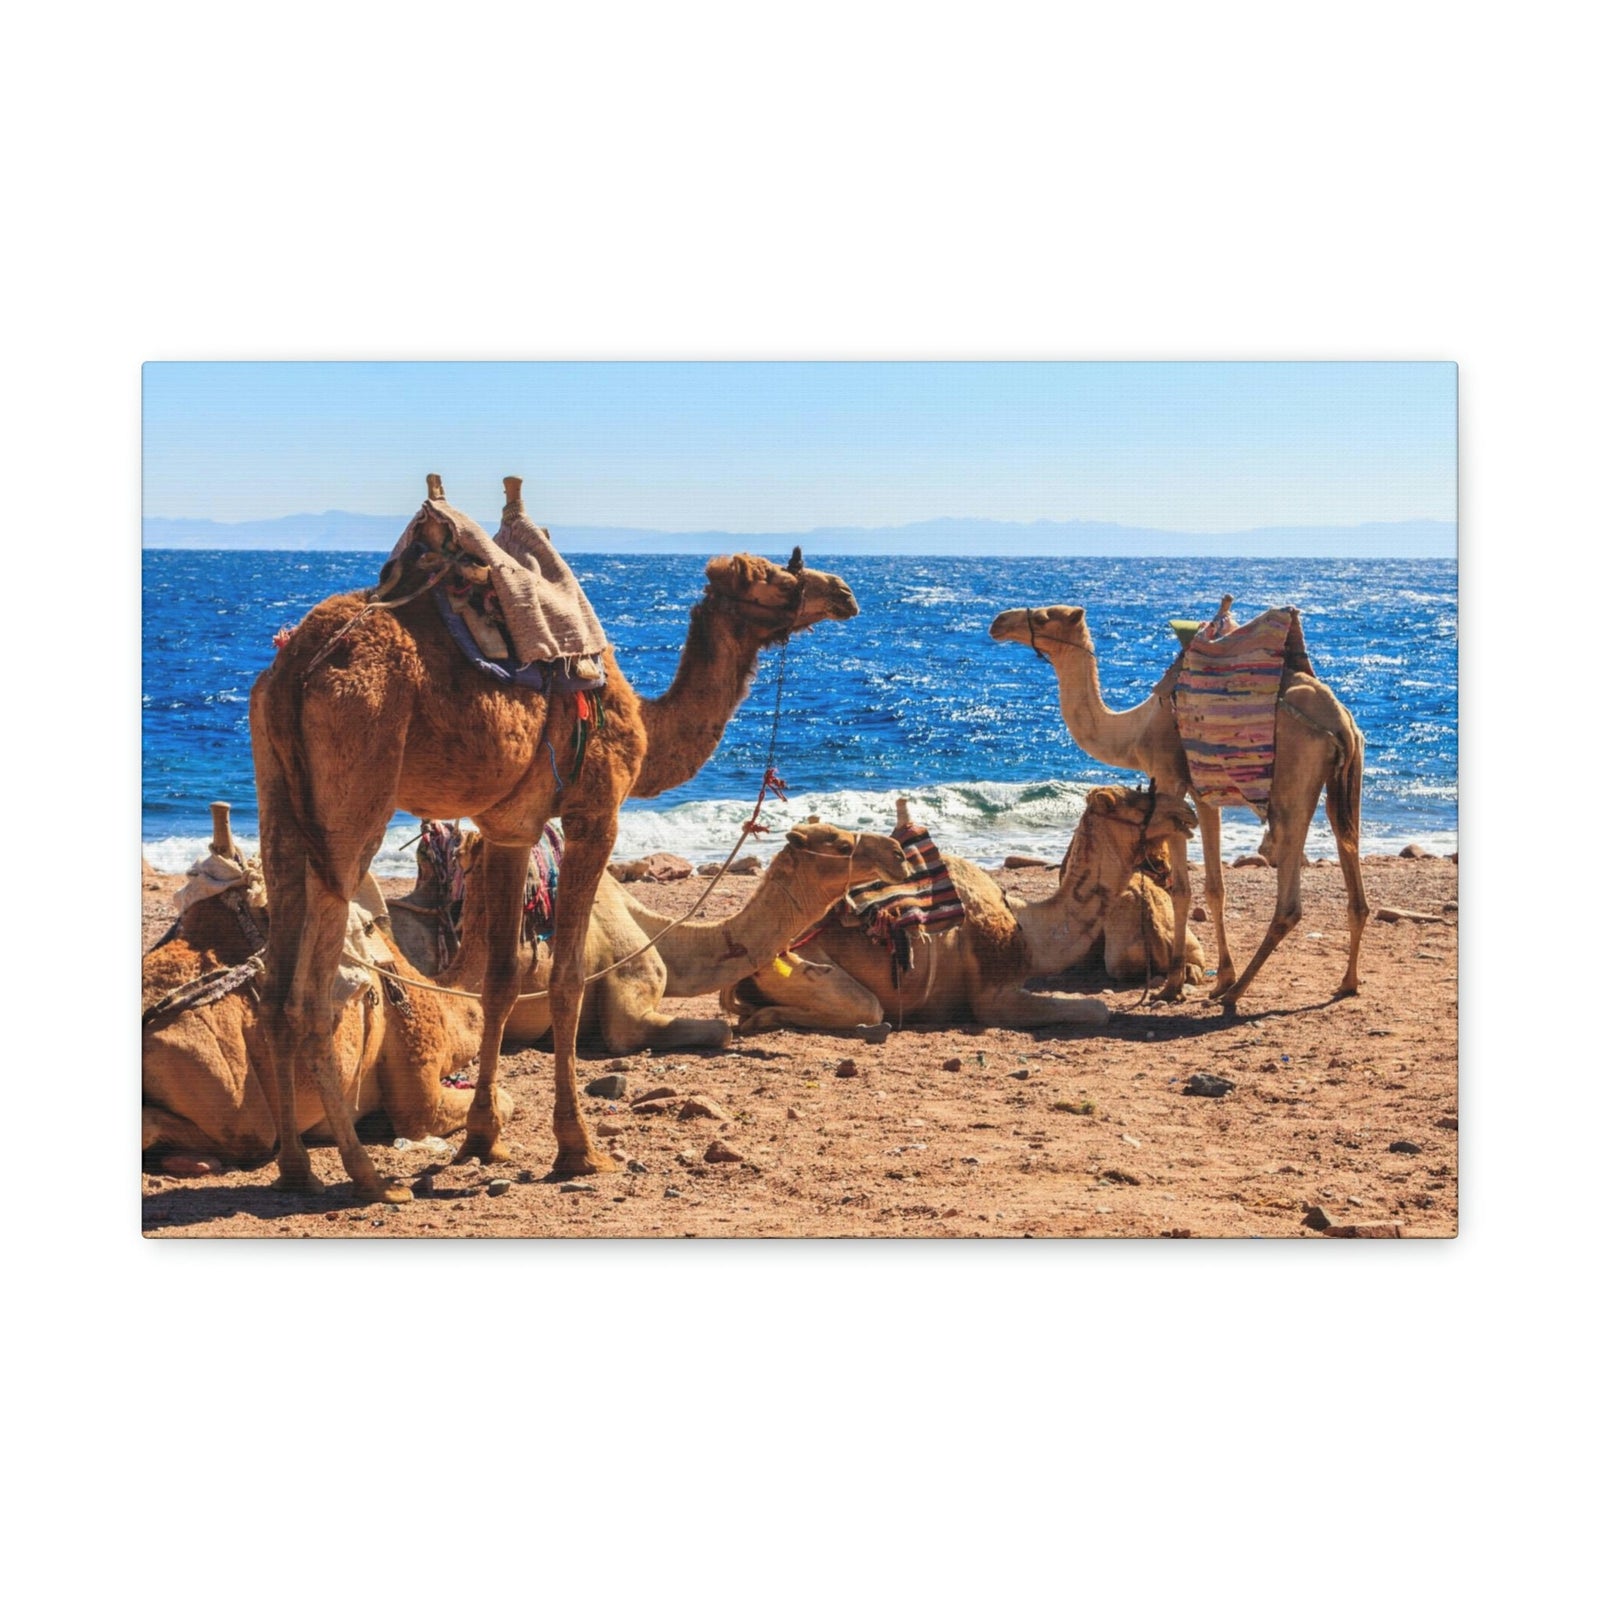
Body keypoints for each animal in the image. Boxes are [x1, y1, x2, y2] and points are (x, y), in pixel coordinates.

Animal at [723, 786, 1198, 1033]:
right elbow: (1096, 1009)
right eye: (1138, 799)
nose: (1187, 811)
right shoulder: (993, 997)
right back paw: (762, 1019)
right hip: (798, 963)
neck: (1030, 927)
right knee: (865, 1008)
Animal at [989, 603, 1368, 1008]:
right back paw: (1346, 983)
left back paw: (1236, 993)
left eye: (1045, 616)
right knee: (1350, 859)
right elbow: (1216, 888)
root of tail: (1341, 721)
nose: (999, 622)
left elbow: (1182, 889)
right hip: (1345, 779)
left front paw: (1172, 985)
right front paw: (1219, 977)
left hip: (1292, 781)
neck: (1133, 732)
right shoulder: (1205, 792)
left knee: (1289, 897)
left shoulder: (1169, 778)